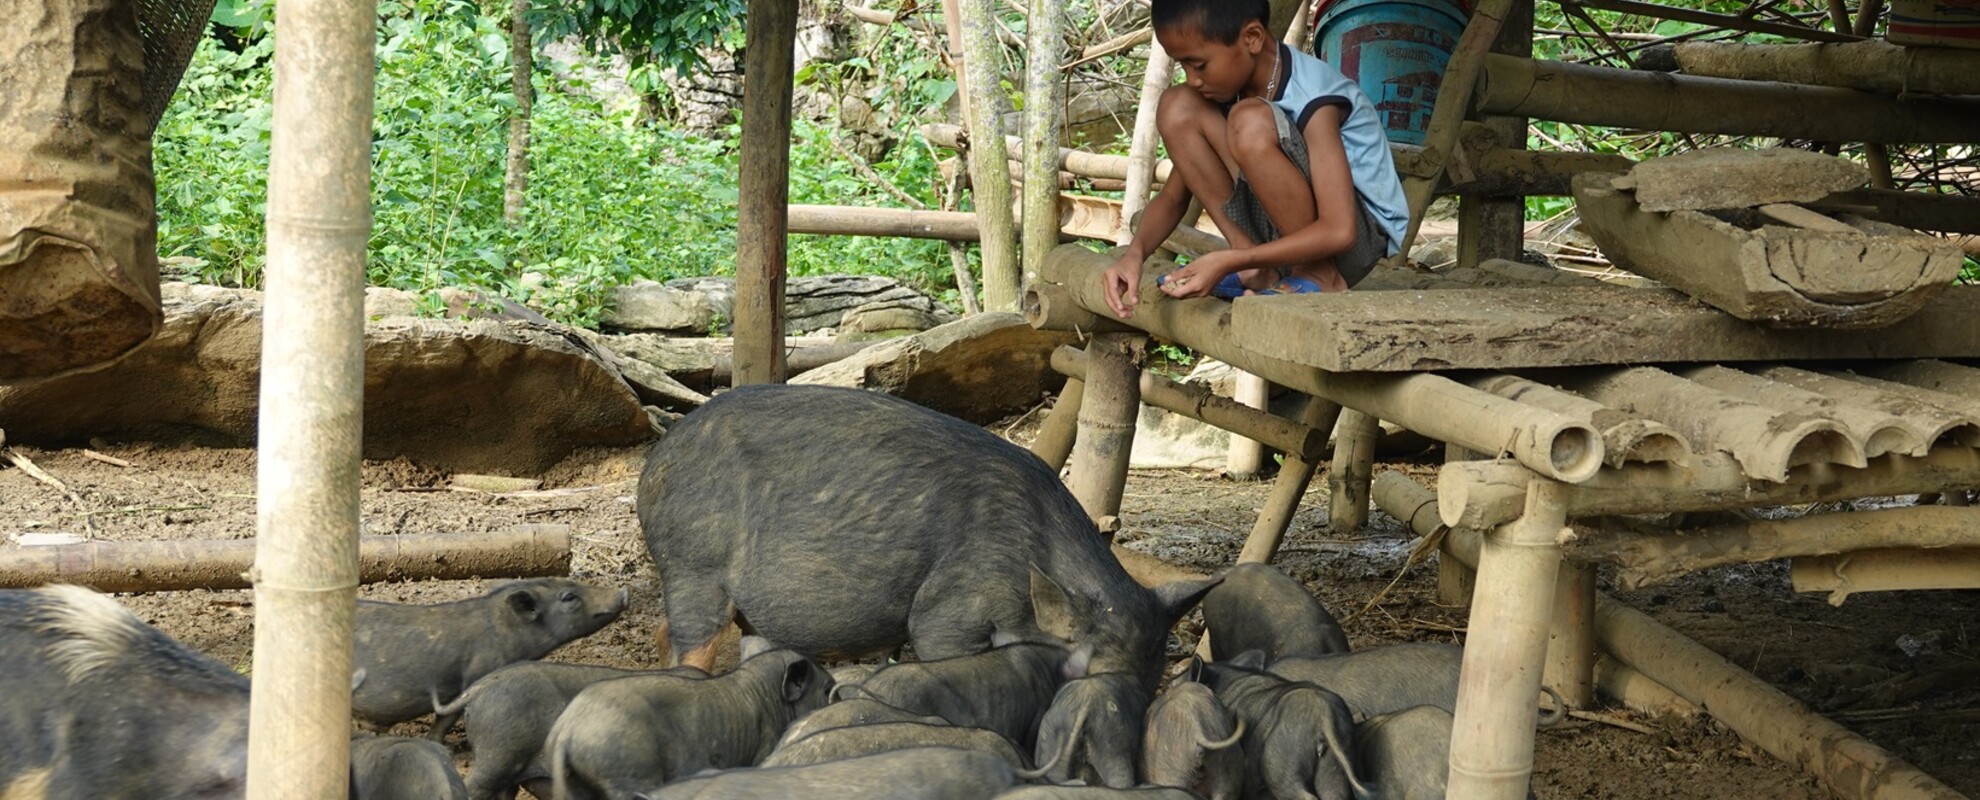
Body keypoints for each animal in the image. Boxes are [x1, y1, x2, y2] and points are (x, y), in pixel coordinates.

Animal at [546, 638, 833, 800]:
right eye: (827, 689)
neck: (769, 694)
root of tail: (567, 731)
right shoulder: (765, 747)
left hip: (578, 783)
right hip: (627, 773)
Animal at [637, 384, 1219, 690]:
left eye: (1152, 681)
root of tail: (655, 462)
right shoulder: (948, 611)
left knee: (675, 634)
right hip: (692, 564)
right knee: (692, 640)